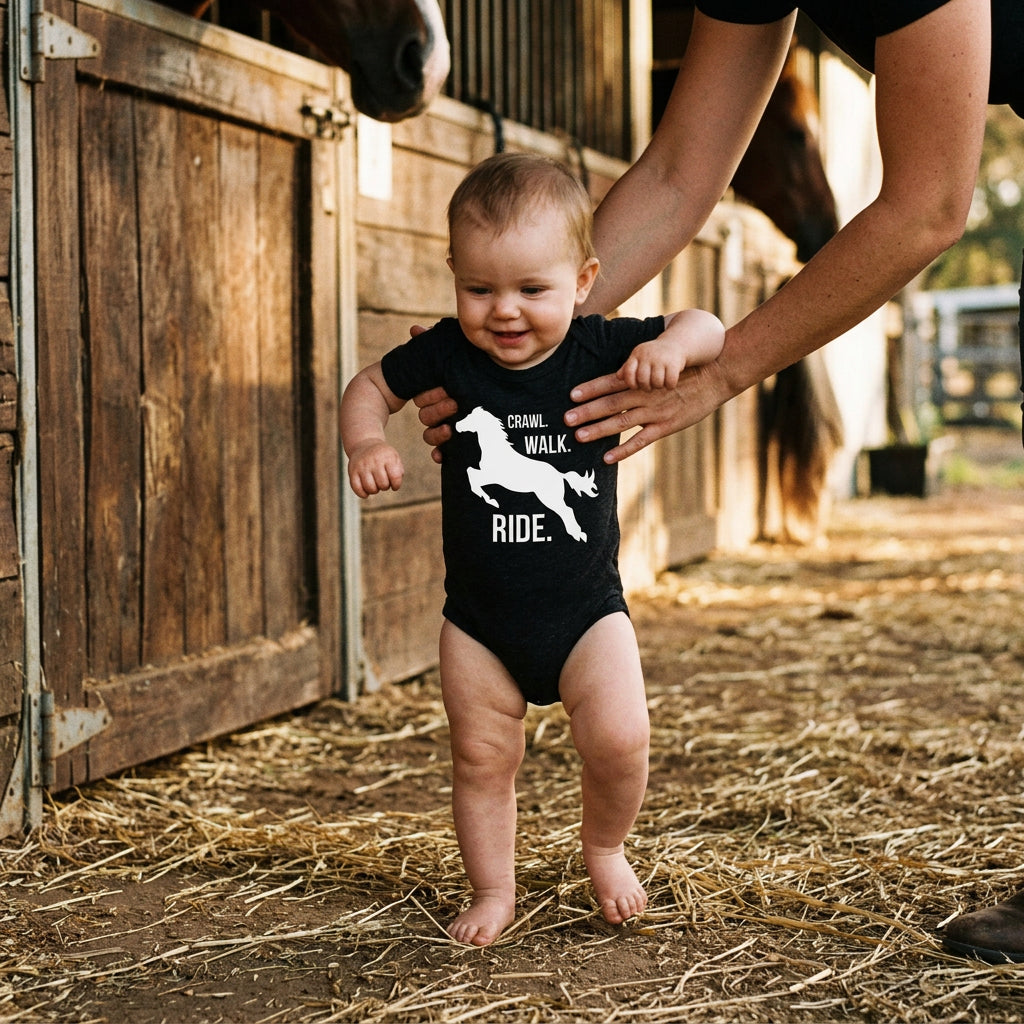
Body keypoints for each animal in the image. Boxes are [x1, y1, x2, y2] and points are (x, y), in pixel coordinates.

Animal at [456, 407, 597, 542]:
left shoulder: (493, 477)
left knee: (567, 510)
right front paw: (491, 500)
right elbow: (471, 472)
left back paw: (578, 534)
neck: (496, 450)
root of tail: (559, 474)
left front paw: (492, 501)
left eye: (470, 418)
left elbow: (471, 475)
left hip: (550, 498)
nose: (457, 425)